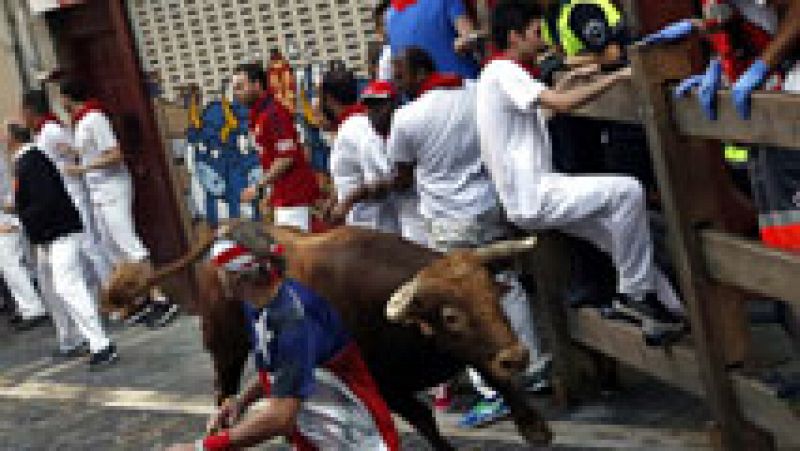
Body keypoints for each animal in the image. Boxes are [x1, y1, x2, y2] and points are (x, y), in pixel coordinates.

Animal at [104, 222, 552, 448]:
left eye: (493, 295)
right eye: (451, 316)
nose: (519, 355)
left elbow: (494, 372)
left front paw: (533, 425)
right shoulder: (384, 384)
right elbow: (424, 418)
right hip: (224, 347)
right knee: (224, 392)